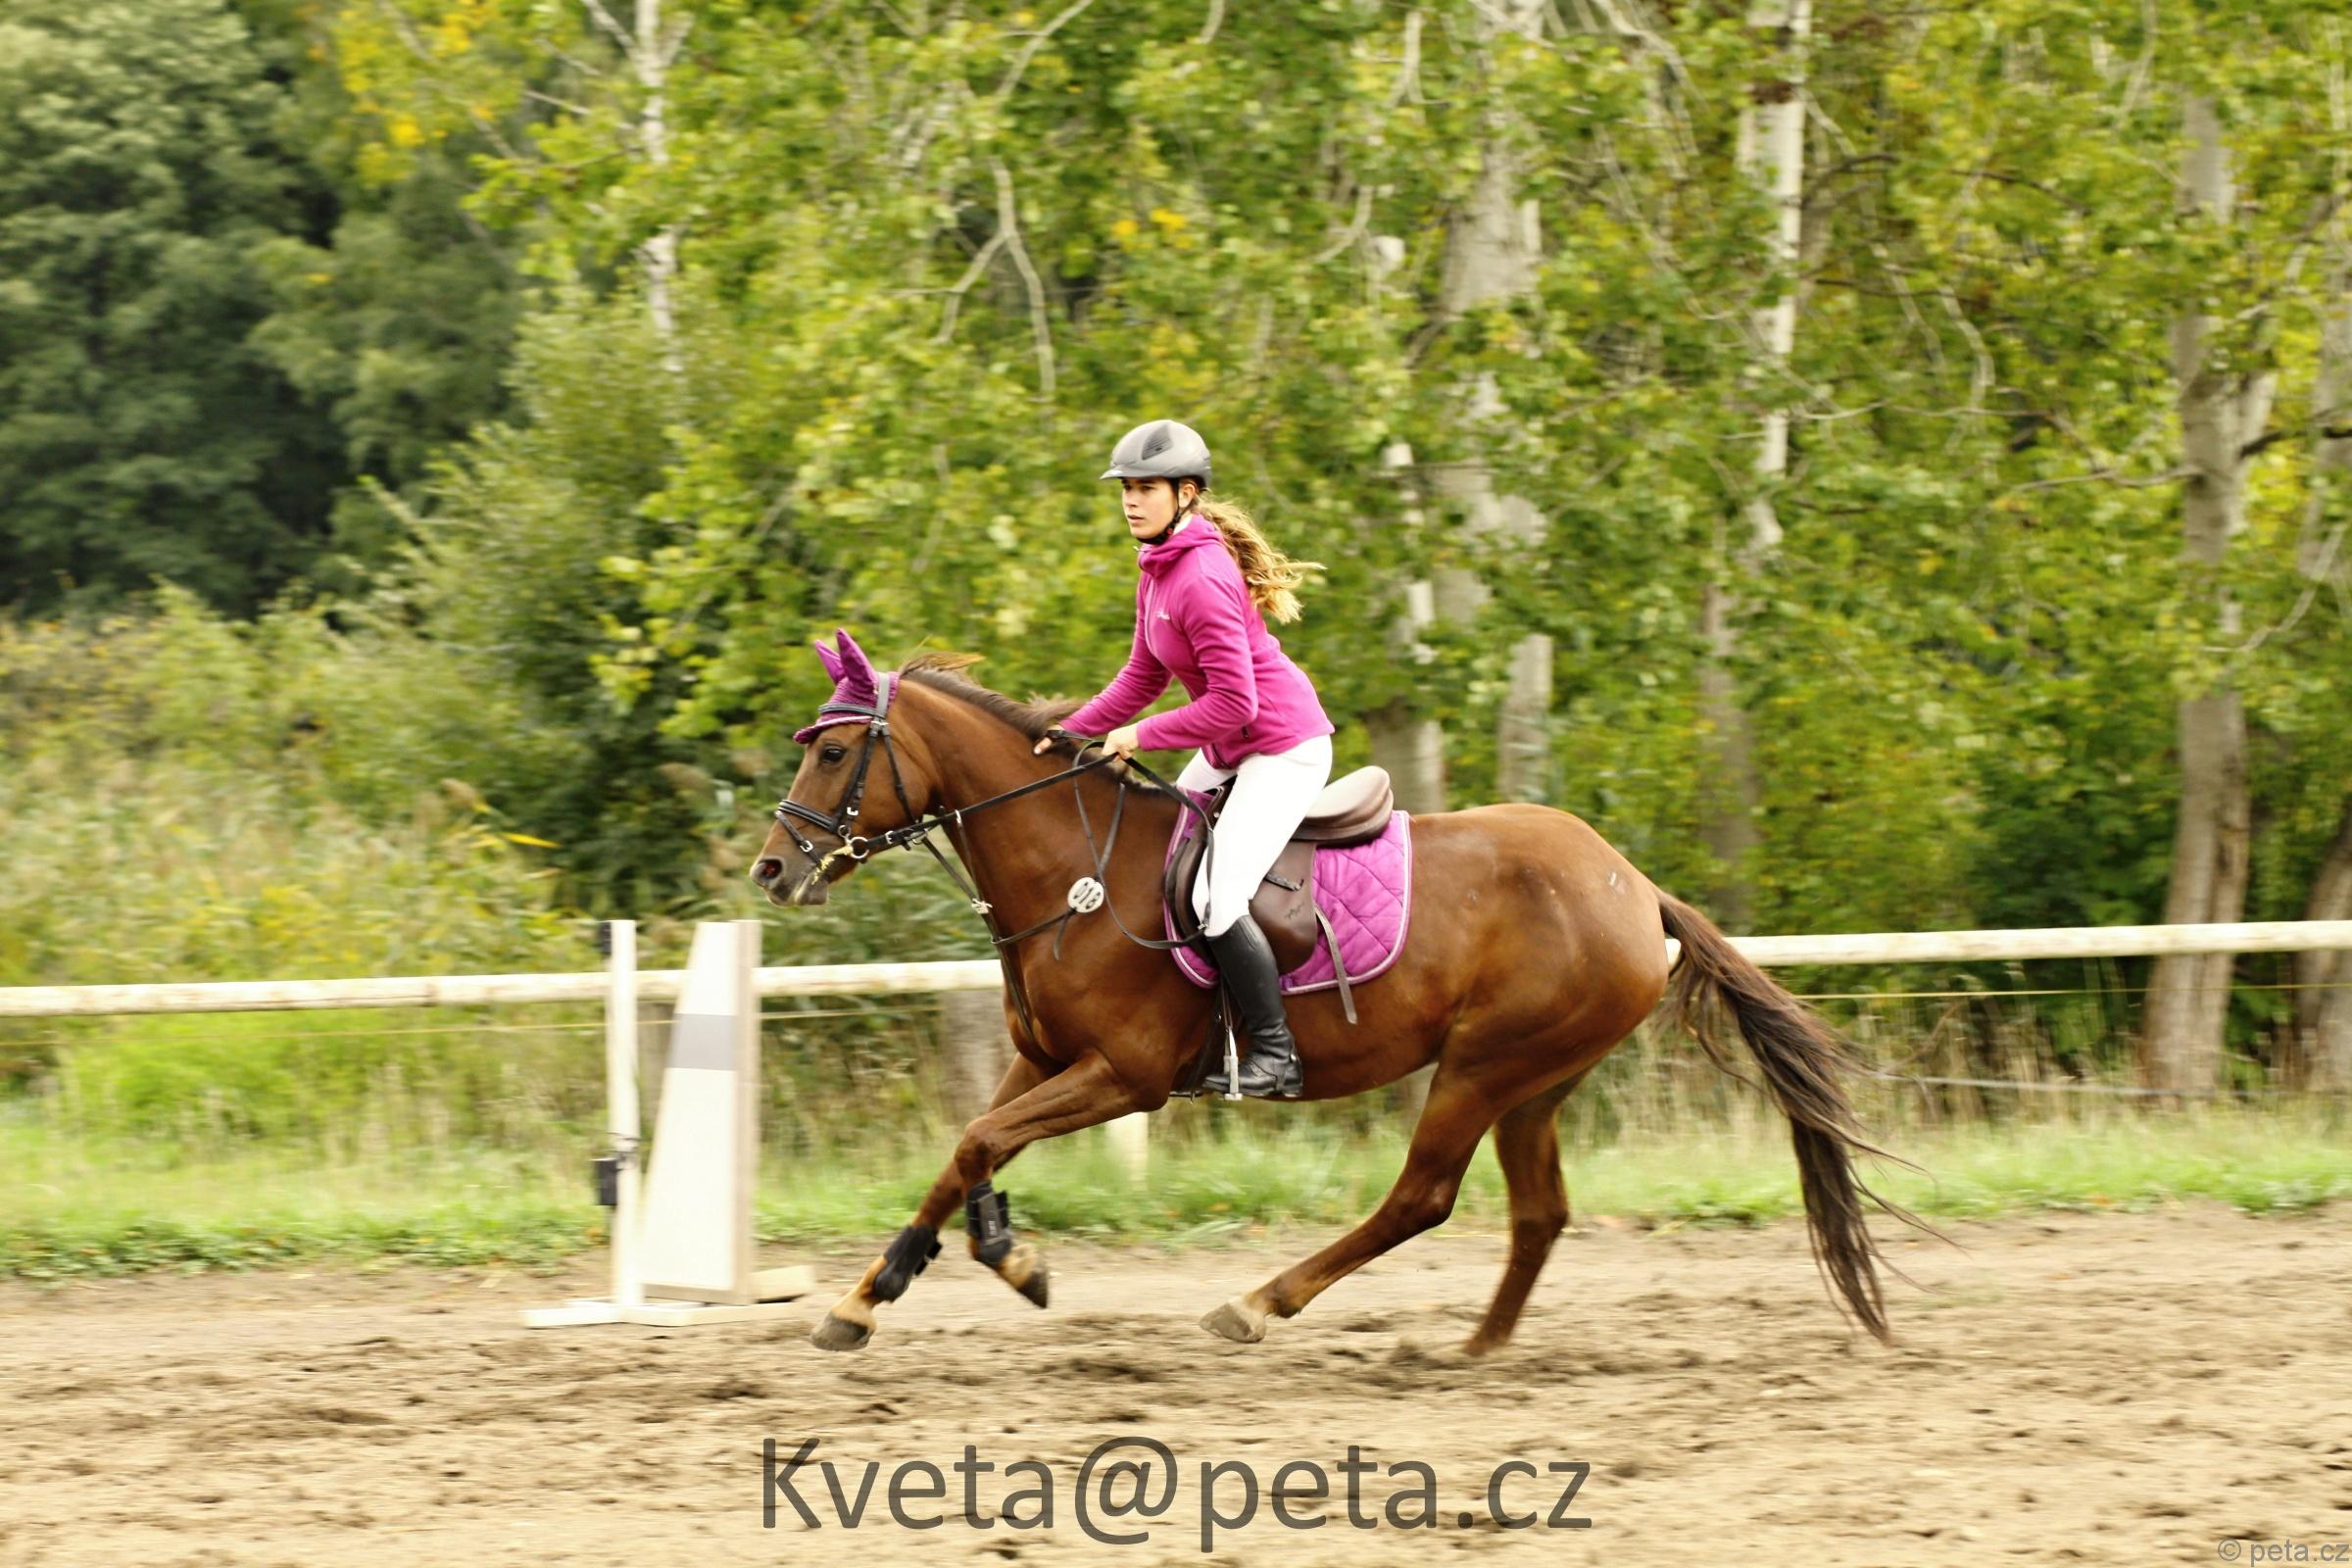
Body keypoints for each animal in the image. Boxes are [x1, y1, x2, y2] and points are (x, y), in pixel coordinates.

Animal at [750, 632, 1912, 1355]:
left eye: (839, 750)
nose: (772, 870)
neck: (1075, 869)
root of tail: (1632, 883)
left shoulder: (1123, 1075)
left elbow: (981, 1143)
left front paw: (1008, 1258)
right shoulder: (1044, 1059)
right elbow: (967, 1149)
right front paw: (869, 1298)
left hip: (1482, 1065)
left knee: (1421, 1198)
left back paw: (1261, 1303)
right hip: (1536, 1080)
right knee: (1537, 1213)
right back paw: (1476, 1348)